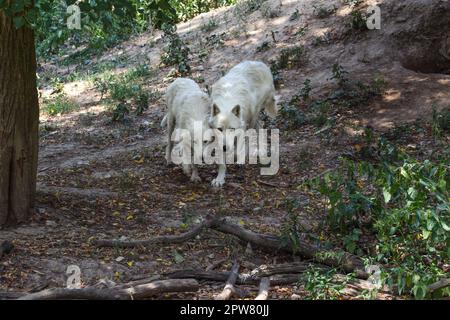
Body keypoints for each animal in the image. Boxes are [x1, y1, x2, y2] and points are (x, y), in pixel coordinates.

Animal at [208, 60, 278, 188]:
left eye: (232, 128)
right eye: (219, 129)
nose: (225, 147)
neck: (227, 102)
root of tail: (260, 63)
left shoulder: (241, 127)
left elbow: (241, 144)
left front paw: (239, 158)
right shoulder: (218, 138)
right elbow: (221, 163)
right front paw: (219, 179)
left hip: (253, 115)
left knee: (256, 130)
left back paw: (257, 152)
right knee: (260, 126)